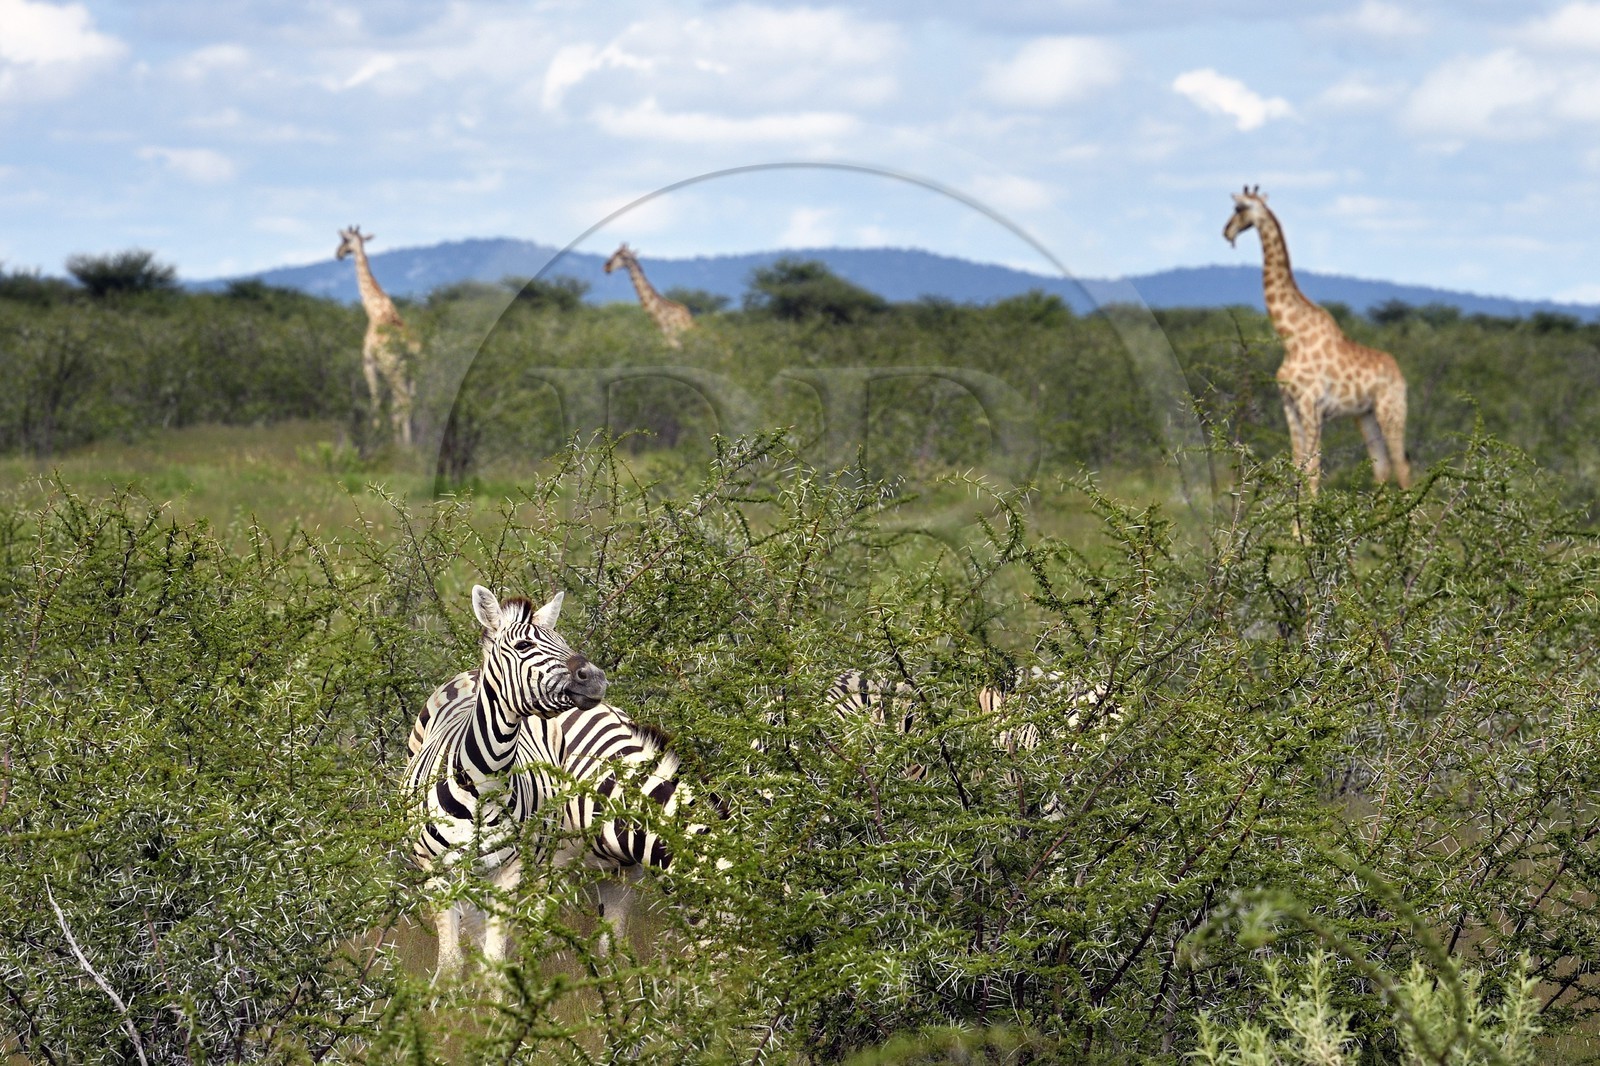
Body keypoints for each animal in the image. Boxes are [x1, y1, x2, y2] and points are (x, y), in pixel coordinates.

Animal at [336, 226, 420, 447]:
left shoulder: (368, 363)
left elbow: (374, 403)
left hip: (394, 370)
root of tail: (409, 347)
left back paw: (404, 447)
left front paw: (374, 439)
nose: (338, 254)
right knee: (409, 402)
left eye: (344, 240)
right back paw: (410, 445)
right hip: (412, 372)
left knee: (403, 401)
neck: (374, 309)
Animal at [1224, 186, 1410, 496]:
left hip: (1391, 409)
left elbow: (1312, 468)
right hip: (1366, 415)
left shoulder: (1311, 405)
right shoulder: (1289, 405)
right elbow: (1296, 463)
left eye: (1239, 208)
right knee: (1382, 466)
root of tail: (1400, 376)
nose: (1226, 231)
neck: (1291, 337)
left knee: (1402, 466)